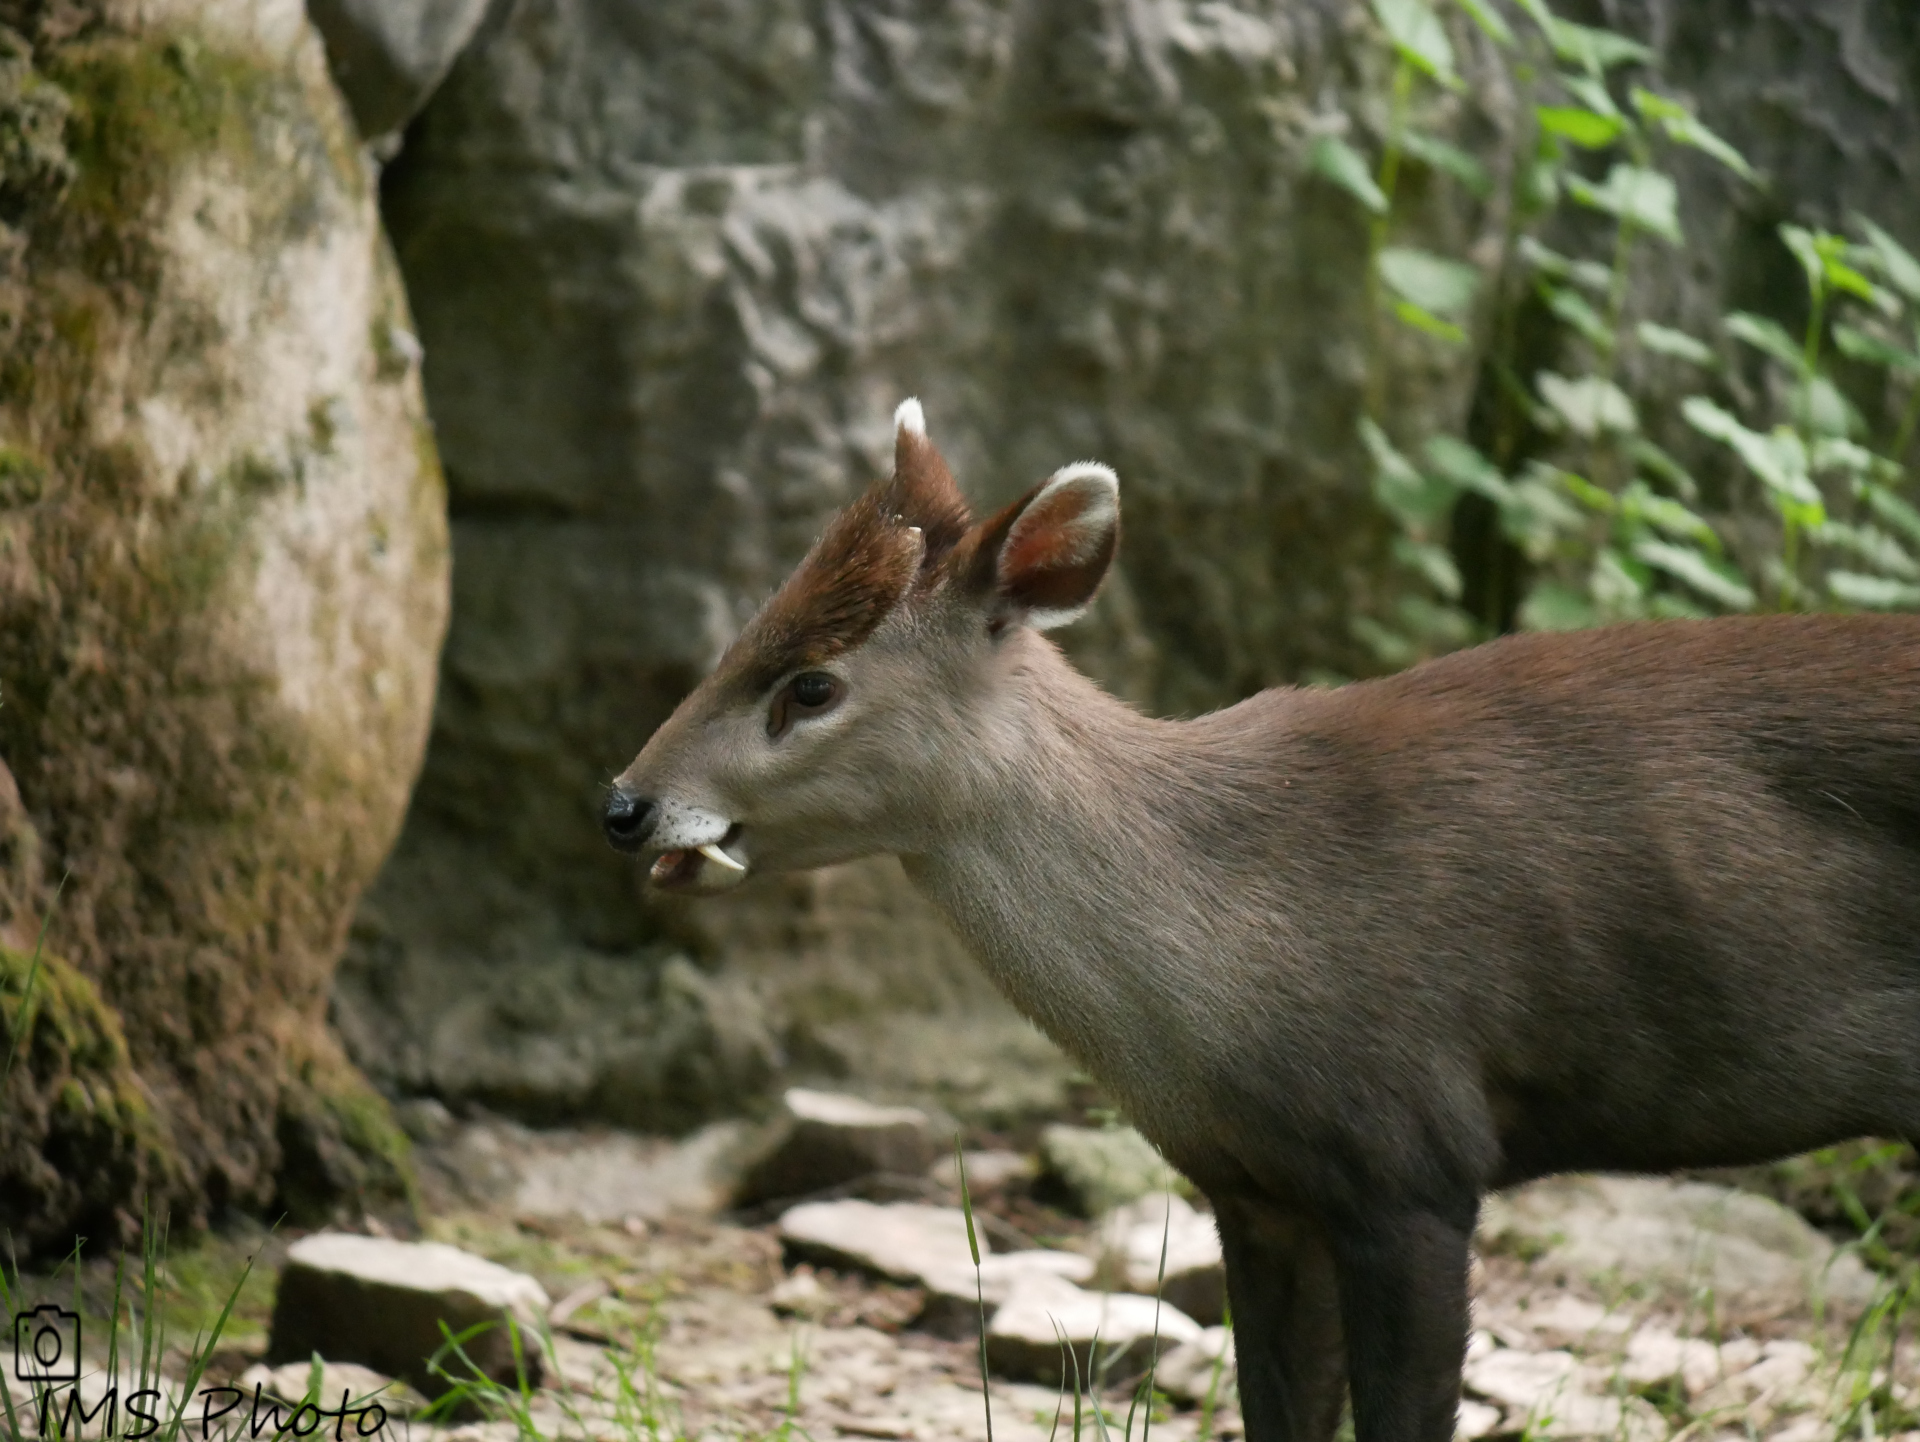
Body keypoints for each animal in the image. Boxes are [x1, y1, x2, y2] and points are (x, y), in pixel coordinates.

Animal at [606, 401, 1920, 1442]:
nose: (625, 803)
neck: (1242, 941)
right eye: (751, 627)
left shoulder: (1414, 1156)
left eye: (811, 684)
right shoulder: (1255, 1188)